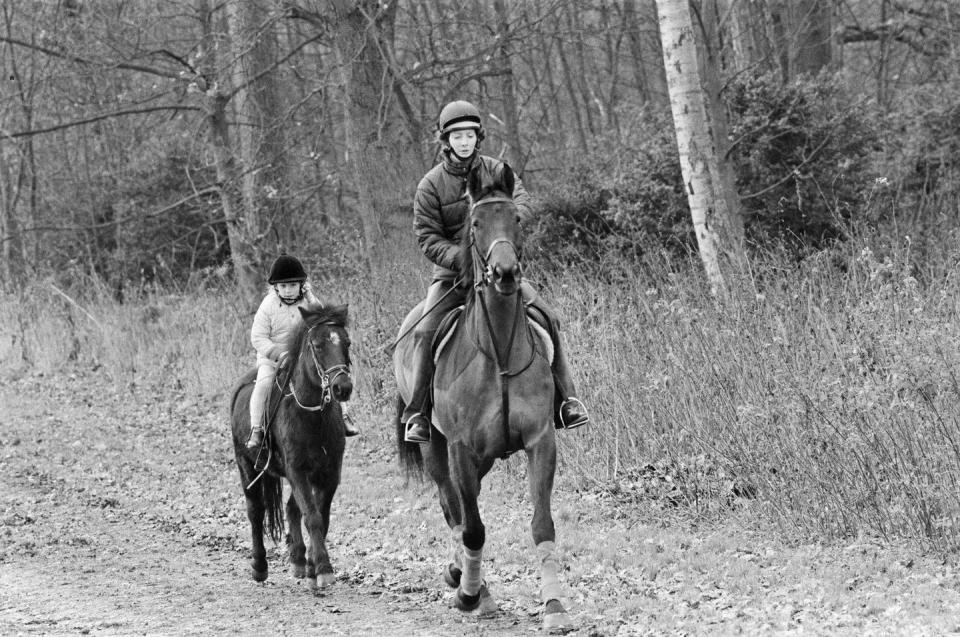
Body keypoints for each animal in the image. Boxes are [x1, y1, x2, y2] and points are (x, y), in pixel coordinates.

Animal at [229, 304, 352, 592]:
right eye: (317, 345)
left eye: (347, 342)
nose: (343, 388)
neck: (311, 415)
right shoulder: (297, 471)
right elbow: (312, 516)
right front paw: (323, 569)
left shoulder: (329, 474)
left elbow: (320, 516)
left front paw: (313, 568)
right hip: (246, 465)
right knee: (256, 511)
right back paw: (259, 566)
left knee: (290, 508)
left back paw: (297, 559)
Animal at [394, 164, 572, 632]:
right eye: (475, 223)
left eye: (517, 218)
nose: (506, 272)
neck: (498, 353)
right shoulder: (459, 447)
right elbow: (472, 527)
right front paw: (470, 594)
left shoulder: (540, 440)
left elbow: (542, 525)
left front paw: (554, 607)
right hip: (437, 449)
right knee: (452, 508)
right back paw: (468, 582)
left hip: (488, 456)